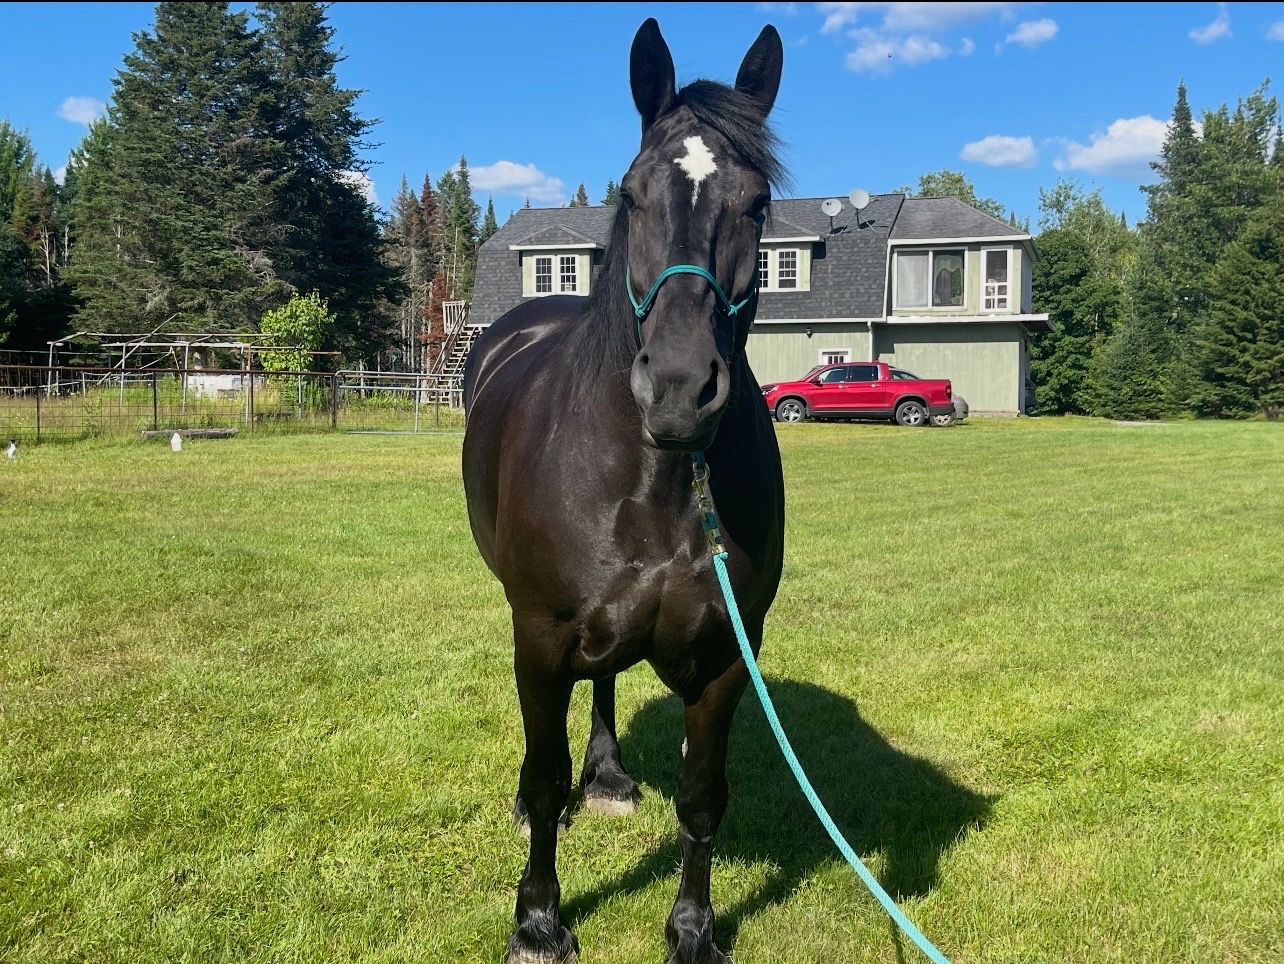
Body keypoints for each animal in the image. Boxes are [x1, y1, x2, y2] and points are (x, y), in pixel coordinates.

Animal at [462, 18, 786, 964]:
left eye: (758, 205)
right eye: (633, 193)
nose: (678, 388)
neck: (657, 480)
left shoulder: (728, 656)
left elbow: (703, 798)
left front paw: (693, 931)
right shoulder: (538, 636)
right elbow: (542, 779)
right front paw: (538, 921)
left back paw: (606, 775)